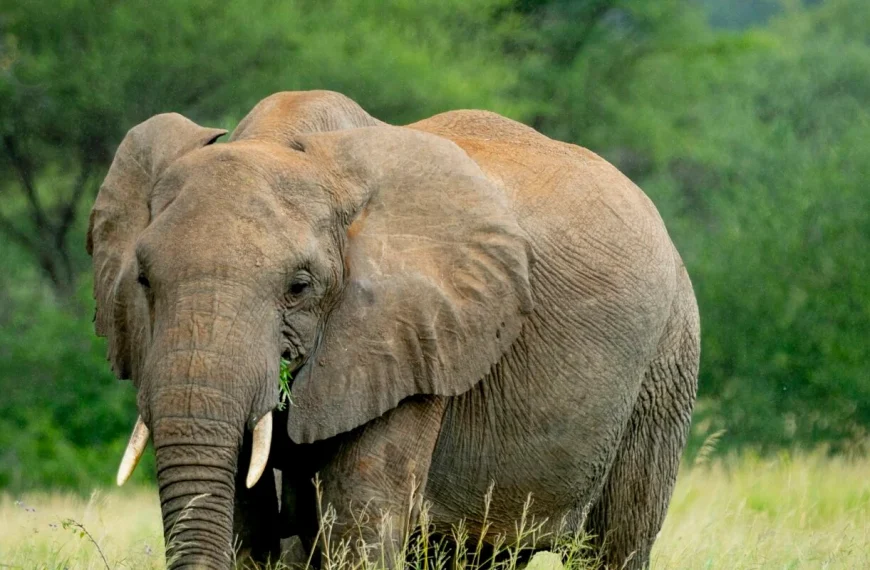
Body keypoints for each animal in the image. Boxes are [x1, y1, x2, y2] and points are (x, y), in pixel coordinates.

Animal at [87, 90, 699, 569]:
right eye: (143, 280)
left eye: (299, 286)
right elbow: (243, 522)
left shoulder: (415, 336)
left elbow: (359, 523)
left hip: (664, 368)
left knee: (616, 545)